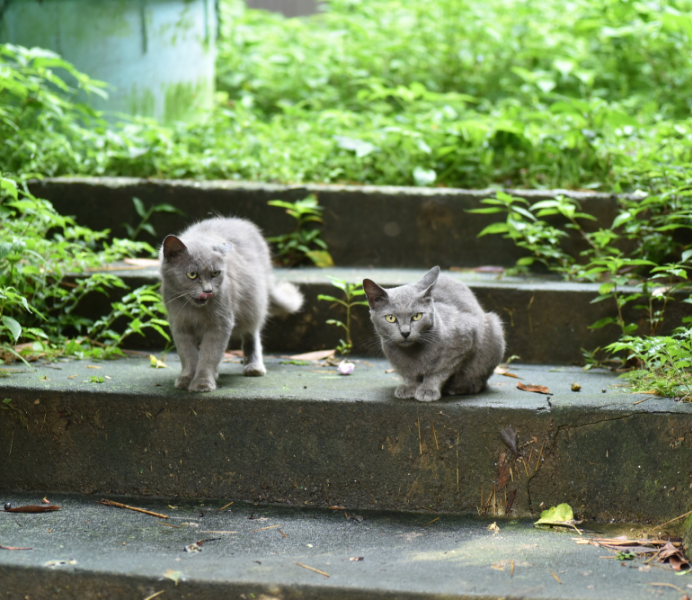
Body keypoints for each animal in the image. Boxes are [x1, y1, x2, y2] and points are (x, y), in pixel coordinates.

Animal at [162, 218, 302, 392]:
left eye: (215, 273)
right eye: (192, 275)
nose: (208, 290)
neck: (194, 309)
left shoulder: (221, 324)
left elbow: (209, 355)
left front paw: (202, 383)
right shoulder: (180, 326)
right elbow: (187, 355)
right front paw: (186, 379)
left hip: (253, 304)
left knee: (251, 335)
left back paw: (254, 367)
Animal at [362, 268, 502, 404]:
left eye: (417, 316)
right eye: (390, 318)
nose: (405, 332)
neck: (412, 353)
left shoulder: (462, 344)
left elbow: (438, 371)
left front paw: (427, 390)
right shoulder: (398, 360)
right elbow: (408, 373)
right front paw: (409, 387)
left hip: (494, 330)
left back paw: (459, 387)